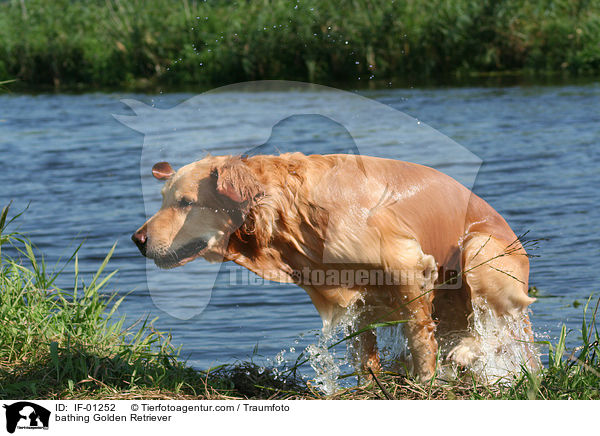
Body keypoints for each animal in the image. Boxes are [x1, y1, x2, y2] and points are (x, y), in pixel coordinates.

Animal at [134, 154, 540, 382]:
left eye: (185, 202)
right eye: (164, 199)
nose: (137, 239)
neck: (293, 209)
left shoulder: (408, 265)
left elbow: (419, 336)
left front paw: (425, 380)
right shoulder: (358, 291)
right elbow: (364, 350)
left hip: (479, 249)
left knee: (504, 323)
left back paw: (467, 350)